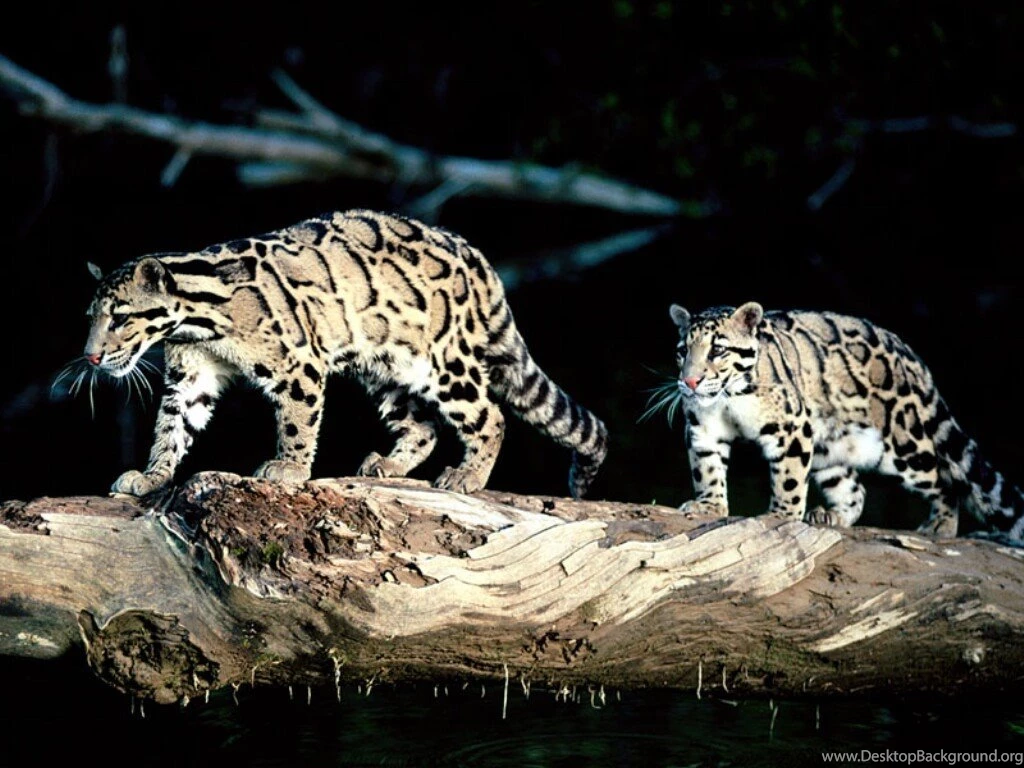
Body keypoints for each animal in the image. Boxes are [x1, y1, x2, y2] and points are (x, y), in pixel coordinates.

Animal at [73, 210, 608, 498]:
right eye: (90, 317)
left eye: (119, 318)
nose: (92, 358)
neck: (199, 320)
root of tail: (480, 262)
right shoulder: (191, 375)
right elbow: (172, 428)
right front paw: (152, 476)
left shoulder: (298, 362)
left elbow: (297, 422)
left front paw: (288, 468)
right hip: (388, 367)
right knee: (424, 427)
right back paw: (389, 465)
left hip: (445, 360)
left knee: (489, 415)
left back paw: (468, 475)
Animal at [654, 301, 1024, 540]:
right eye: (682, 351)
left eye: (718, 349)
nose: (689, 382)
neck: (728, 398)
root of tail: (914, 359)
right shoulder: (702, 429)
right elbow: (707, 469)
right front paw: (708, 506)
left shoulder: (793, 427)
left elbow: (789, 480)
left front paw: (781, 517)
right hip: (829, 448)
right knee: (855, 489)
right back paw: (830, 514)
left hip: (903, 447)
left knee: (945, 480)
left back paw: (941, 526)